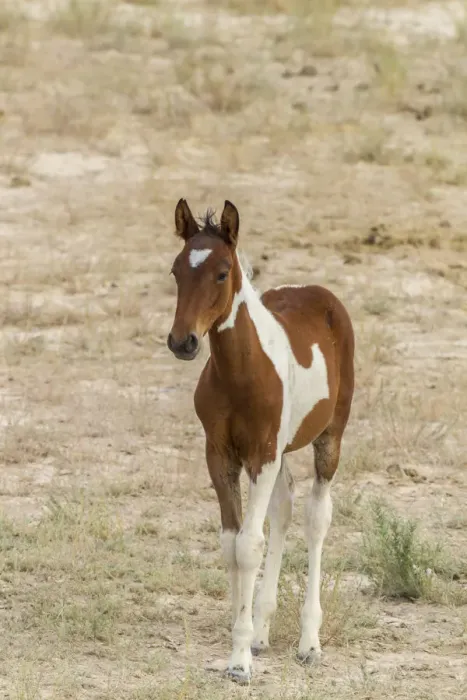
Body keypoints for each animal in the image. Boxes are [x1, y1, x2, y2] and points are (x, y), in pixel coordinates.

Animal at [167, 199, 355, 684]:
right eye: (175, 270)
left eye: (221, 273)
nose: (182, 342)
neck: (240, 373)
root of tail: (316, 291)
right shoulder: (220, 456)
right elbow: (231, 544)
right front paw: (244, 638)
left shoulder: (262, 455)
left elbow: (249, 546)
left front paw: (239, 662)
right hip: (283, 450)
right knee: (284, 510)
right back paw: (263, 631)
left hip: (329, 437)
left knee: (315, 517)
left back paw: (310, 643)